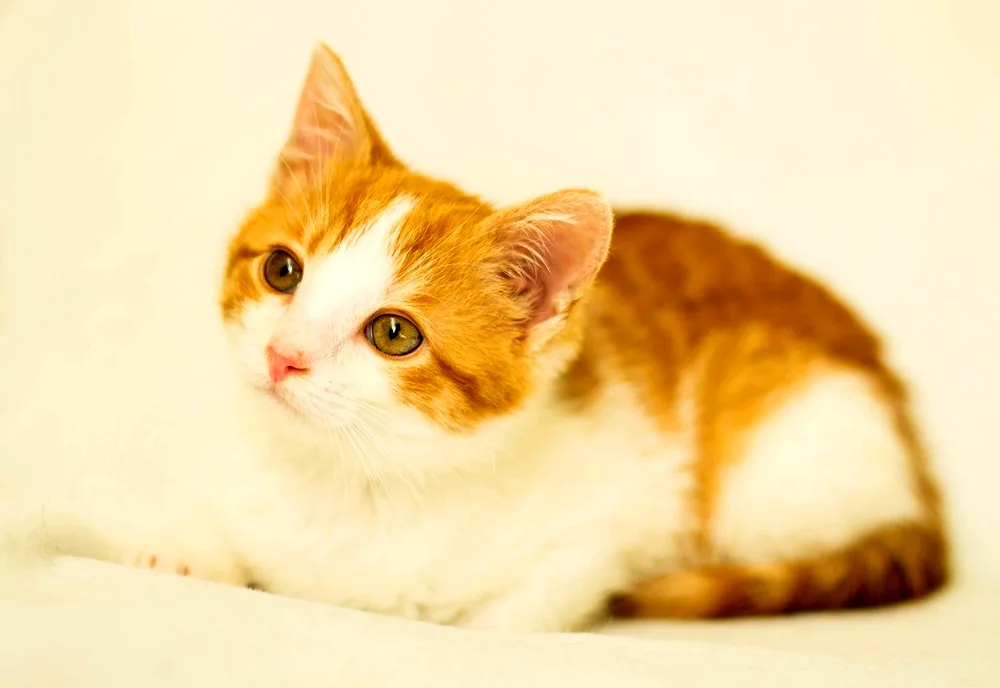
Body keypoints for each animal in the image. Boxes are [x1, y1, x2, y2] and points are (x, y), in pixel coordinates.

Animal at [129, 43, 948, 632]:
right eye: (281, 270)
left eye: (394, 333)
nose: (283, 355)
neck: (353, 480)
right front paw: (179, 554)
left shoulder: (598, 537)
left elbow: (517, 614)